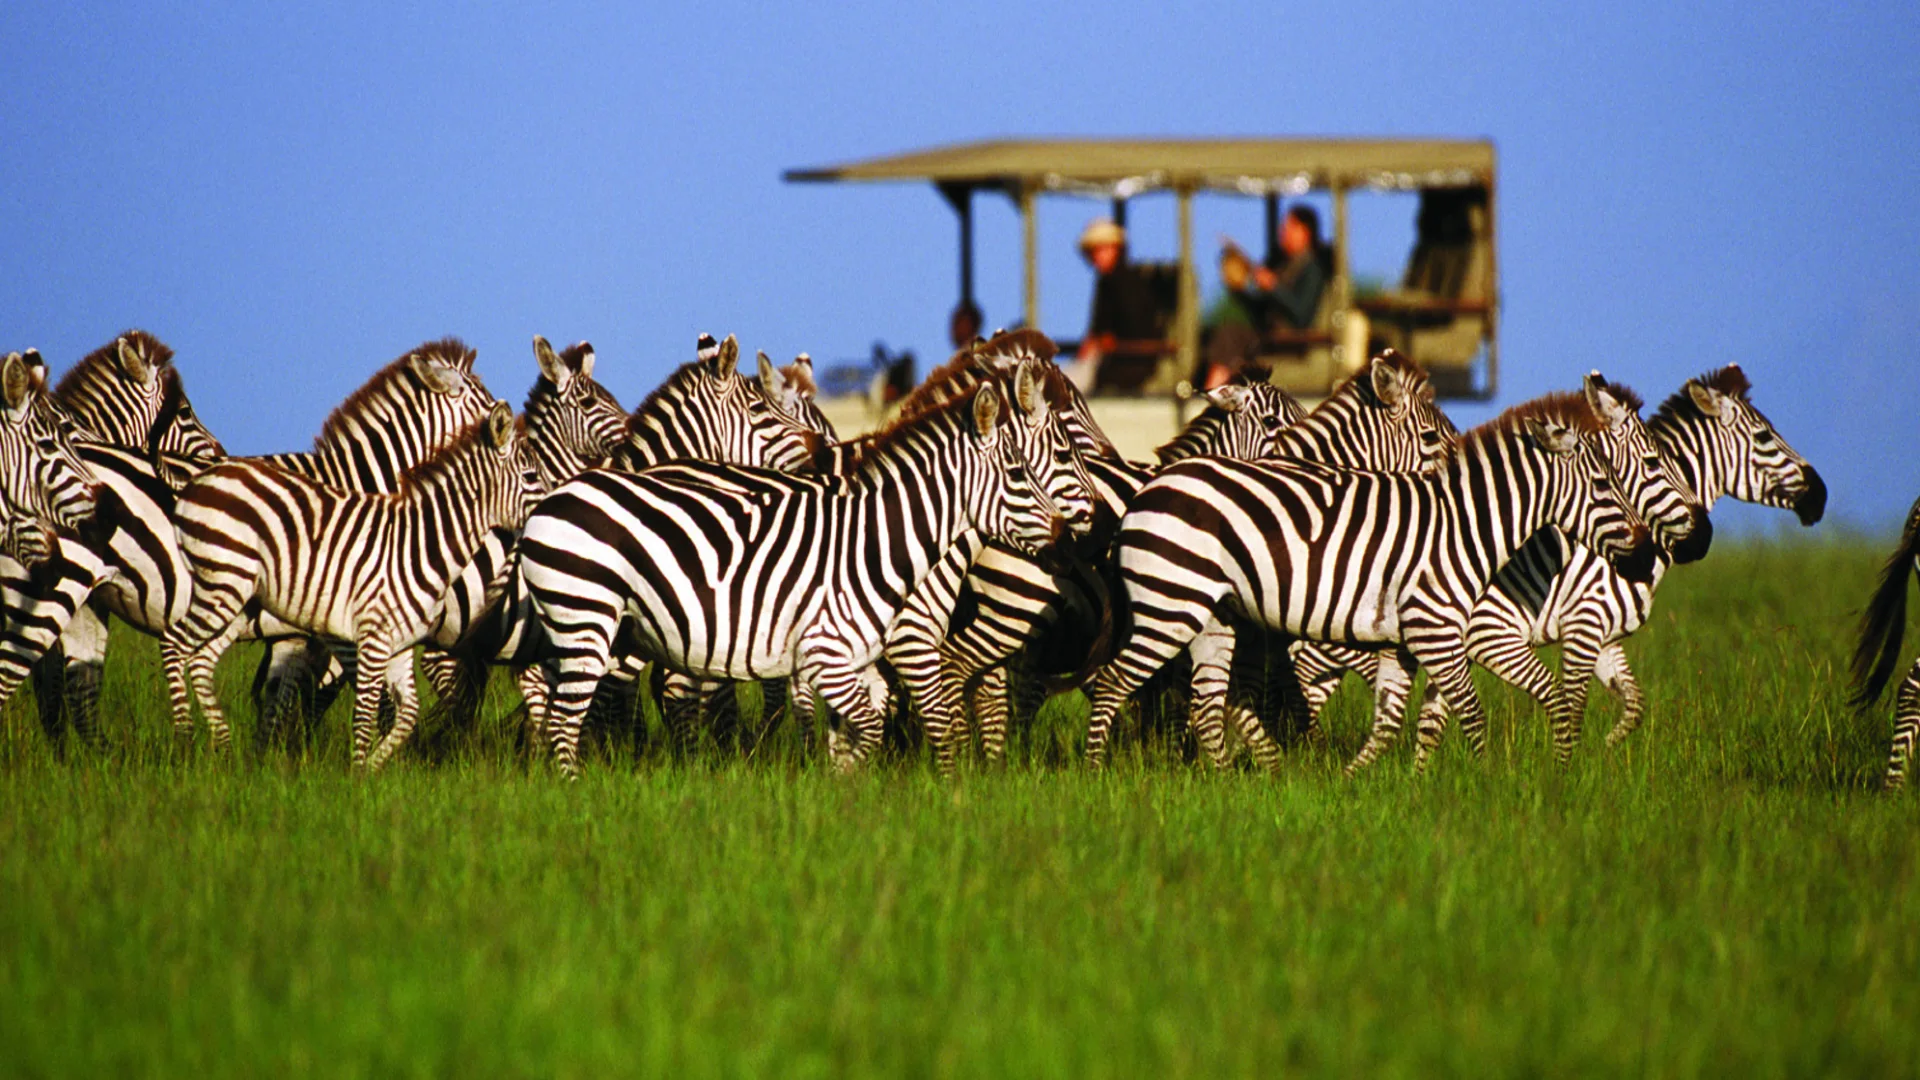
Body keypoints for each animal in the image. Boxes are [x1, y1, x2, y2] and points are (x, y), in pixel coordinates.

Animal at [160, 403, 526, 764]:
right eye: (531, 476)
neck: (419, 544)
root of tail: (199, 479)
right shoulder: (365, 638)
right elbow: (364, 712)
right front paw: (357, 773)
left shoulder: (394, 645)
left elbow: (401, 713)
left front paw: (375, 766)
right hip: (223, 583)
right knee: (173, 643)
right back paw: (184, 739)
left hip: (236, 597)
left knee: (202, 658)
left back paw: (225, 748)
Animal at [522, 359, 1098, 772]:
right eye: (1054, 457)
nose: (1080, 535)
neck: (881, 540)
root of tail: (554, 497)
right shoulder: (885, 647)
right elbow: (926, 720)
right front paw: (952, 790)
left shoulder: (862, 659)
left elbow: (861, 731)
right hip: (593, 622)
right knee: (581, 711)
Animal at [1090, 390, 1658, 768]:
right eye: (1603, 483)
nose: (1646, 553)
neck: (1463, 527)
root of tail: (1149, 489)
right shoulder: (1436, 630)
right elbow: (1472, 711)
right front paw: (1489, 782)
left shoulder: (1400, 642)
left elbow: (1391, 721)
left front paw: (1367, 784)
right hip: (1171, 604)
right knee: (1113, 682)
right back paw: (1097, 773)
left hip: (1214, 615)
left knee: (1207, 703)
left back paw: (1229, 783)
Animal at [1290, 365, 1812, 760]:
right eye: (1765, 437)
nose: (1701, 538)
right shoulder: (1543, 627)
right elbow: (1569, 703)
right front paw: (1568, 772)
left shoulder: (1602, 634)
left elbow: (1632, 704)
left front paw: (1605, 752)